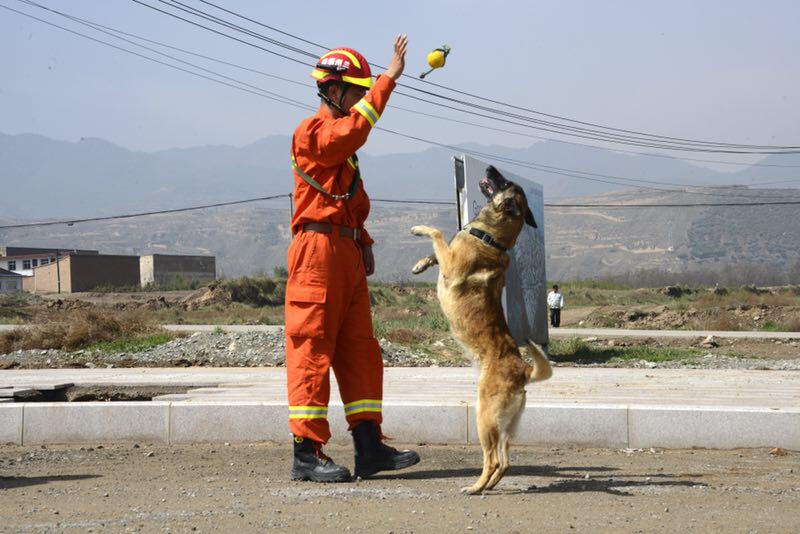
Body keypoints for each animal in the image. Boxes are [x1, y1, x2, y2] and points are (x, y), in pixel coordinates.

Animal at [412, 165, 552, 496]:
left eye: (505, 181)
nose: (490, 168)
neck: (491, 238)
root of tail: (523, 370)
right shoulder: (449, 256)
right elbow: (438, 249)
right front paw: (421, 263)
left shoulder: (452, 265)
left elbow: (438, 234)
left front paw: (420, 229)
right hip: (505, 425)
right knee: (505, 461)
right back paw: (488, 484)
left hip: (484, 417)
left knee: (493, 458)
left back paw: (475, 487)